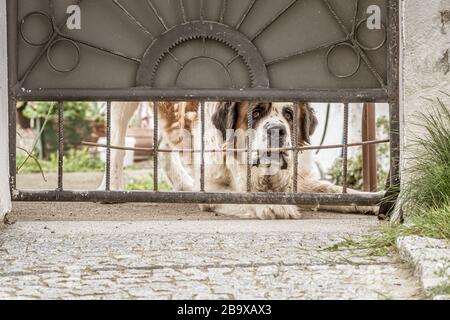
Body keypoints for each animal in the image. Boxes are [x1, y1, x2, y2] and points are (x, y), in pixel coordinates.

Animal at [101, 101, 376, 219]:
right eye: (255, 113)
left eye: (289, 114)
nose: (277, 130)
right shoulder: (214, 186)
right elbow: (240, 195)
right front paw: (272, 206)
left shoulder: (297, 180)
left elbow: (334, 191)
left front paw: (372, 200)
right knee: (116, 143)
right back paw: (112, 188)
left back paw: (185, 186)